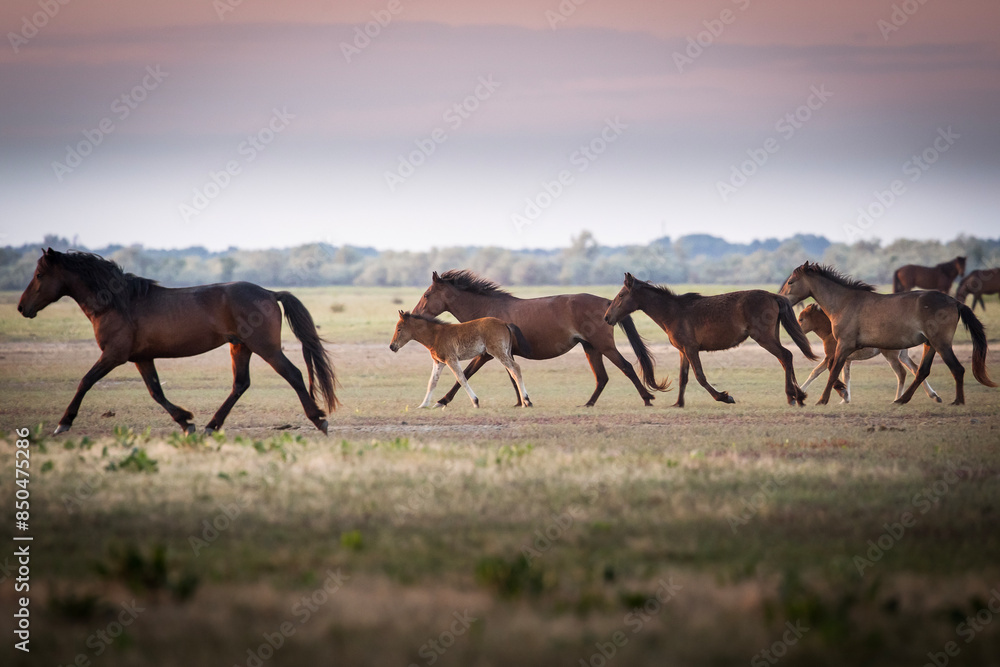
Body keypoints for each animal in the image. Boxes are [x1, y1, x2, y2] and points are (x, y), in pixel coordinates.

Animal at [17, 249, 338, 435]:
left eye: (39, 274)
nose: (22, 308)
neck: (117, 303)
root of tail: (270, 293)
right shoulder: (141, 358)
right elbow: (156, 392)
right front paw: (186, 421)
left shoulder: (114, 355)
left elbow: (85, 381)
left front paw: (63, 423)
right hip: (240, 347)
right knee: (240, 384)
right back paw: (211, 426)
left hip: (265, 348)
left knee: (293, 374)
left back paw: (319, 420)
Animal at [389, 311, 532, 409]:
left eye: (399, 329)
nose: (392, 346)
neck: (435, 335)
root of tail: (505, 323)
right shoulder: (439, 362)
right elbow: (432, 382)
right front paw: (423, 405)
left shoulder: (451, 359)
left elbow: (461, 378)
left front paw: (475, 402)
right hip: (505, 352)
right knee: (513, 371)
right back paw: (524, 402)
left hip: (497, 351)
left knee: (516, 368)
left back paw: (527, 401)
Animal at [411, 270, 669, 408]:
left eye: (427, 294)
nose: (414, 314)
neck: (488, 309)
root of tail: (607, 305)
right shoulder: (505, 353)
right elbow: (512, 376)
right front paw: (520, 402)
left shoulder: (487, 354)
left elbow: (466, 373)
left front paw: (443, 400)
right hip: (590, 348)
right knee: (602, 377)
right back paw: (588, 404)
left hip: (603, 346)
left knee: (626, 367)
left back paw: (647, 399)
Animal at [603, 273, 818, 407]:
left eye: (621, 295)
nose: (607, 317)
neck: (673, 312)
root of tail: (773, 296)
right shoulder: (683, 351)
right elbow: (683, 377)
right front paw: (678, 403)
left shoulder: (691, 349)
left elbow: (700, 376)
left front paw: (724, 397)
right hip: (772, 336)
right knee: (784, 359)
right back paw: (798, 395)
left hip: (764, 338)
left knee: (786, 356)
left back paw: (792, 396)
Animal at [797, 304, 941, 403]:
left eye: (801, 319)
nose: (796, 330)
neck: (830, 332)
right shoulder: (846, 359)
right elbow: (845, 376)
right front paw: (845, 398)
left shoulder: (830, 357)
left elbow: (815, 372)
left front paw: (801, 391)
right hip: (903, 356)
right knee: (916, 369)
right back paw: (934, 396)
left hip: (891, 356)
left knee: (901, 373)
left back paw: (897, 399)